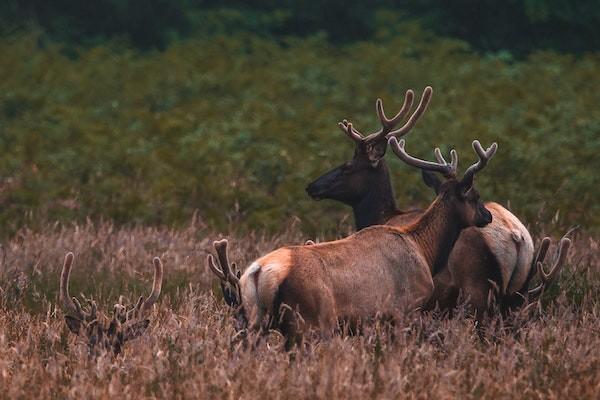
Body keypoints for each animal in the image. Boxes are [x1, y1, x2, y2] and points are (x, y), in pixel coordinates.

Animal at [239, 135, 496, 346]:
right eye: (475, 196)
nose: (488, 215)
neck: (424, 250)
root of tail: (258, 272)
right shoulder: (406, 309)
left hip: (255, 321)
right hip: (310, 321)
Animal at [308, 92, 552, 314]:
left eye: (347, 167)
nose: (311, 186)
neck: (383, 215)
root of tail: (516, 236)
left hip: (477, 290)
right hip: (517, 291)